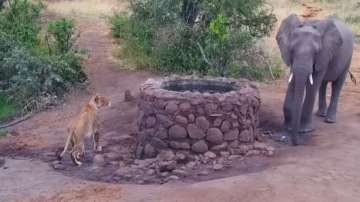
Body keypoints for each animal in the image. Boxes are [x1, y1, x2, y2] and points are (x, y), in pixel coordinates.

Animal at [276, 13, 354, 145]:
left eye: (316, 53)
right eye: (292, 50)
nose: (297, 142)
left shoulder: (325, 53)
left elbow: (312, 86)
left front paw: (305, 130)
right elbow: (294, 81)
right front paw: (288, 127)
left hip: (348, 57)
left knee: (337, 85)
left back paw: (329, 120)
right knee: (323, 84)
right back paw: (320, 114)